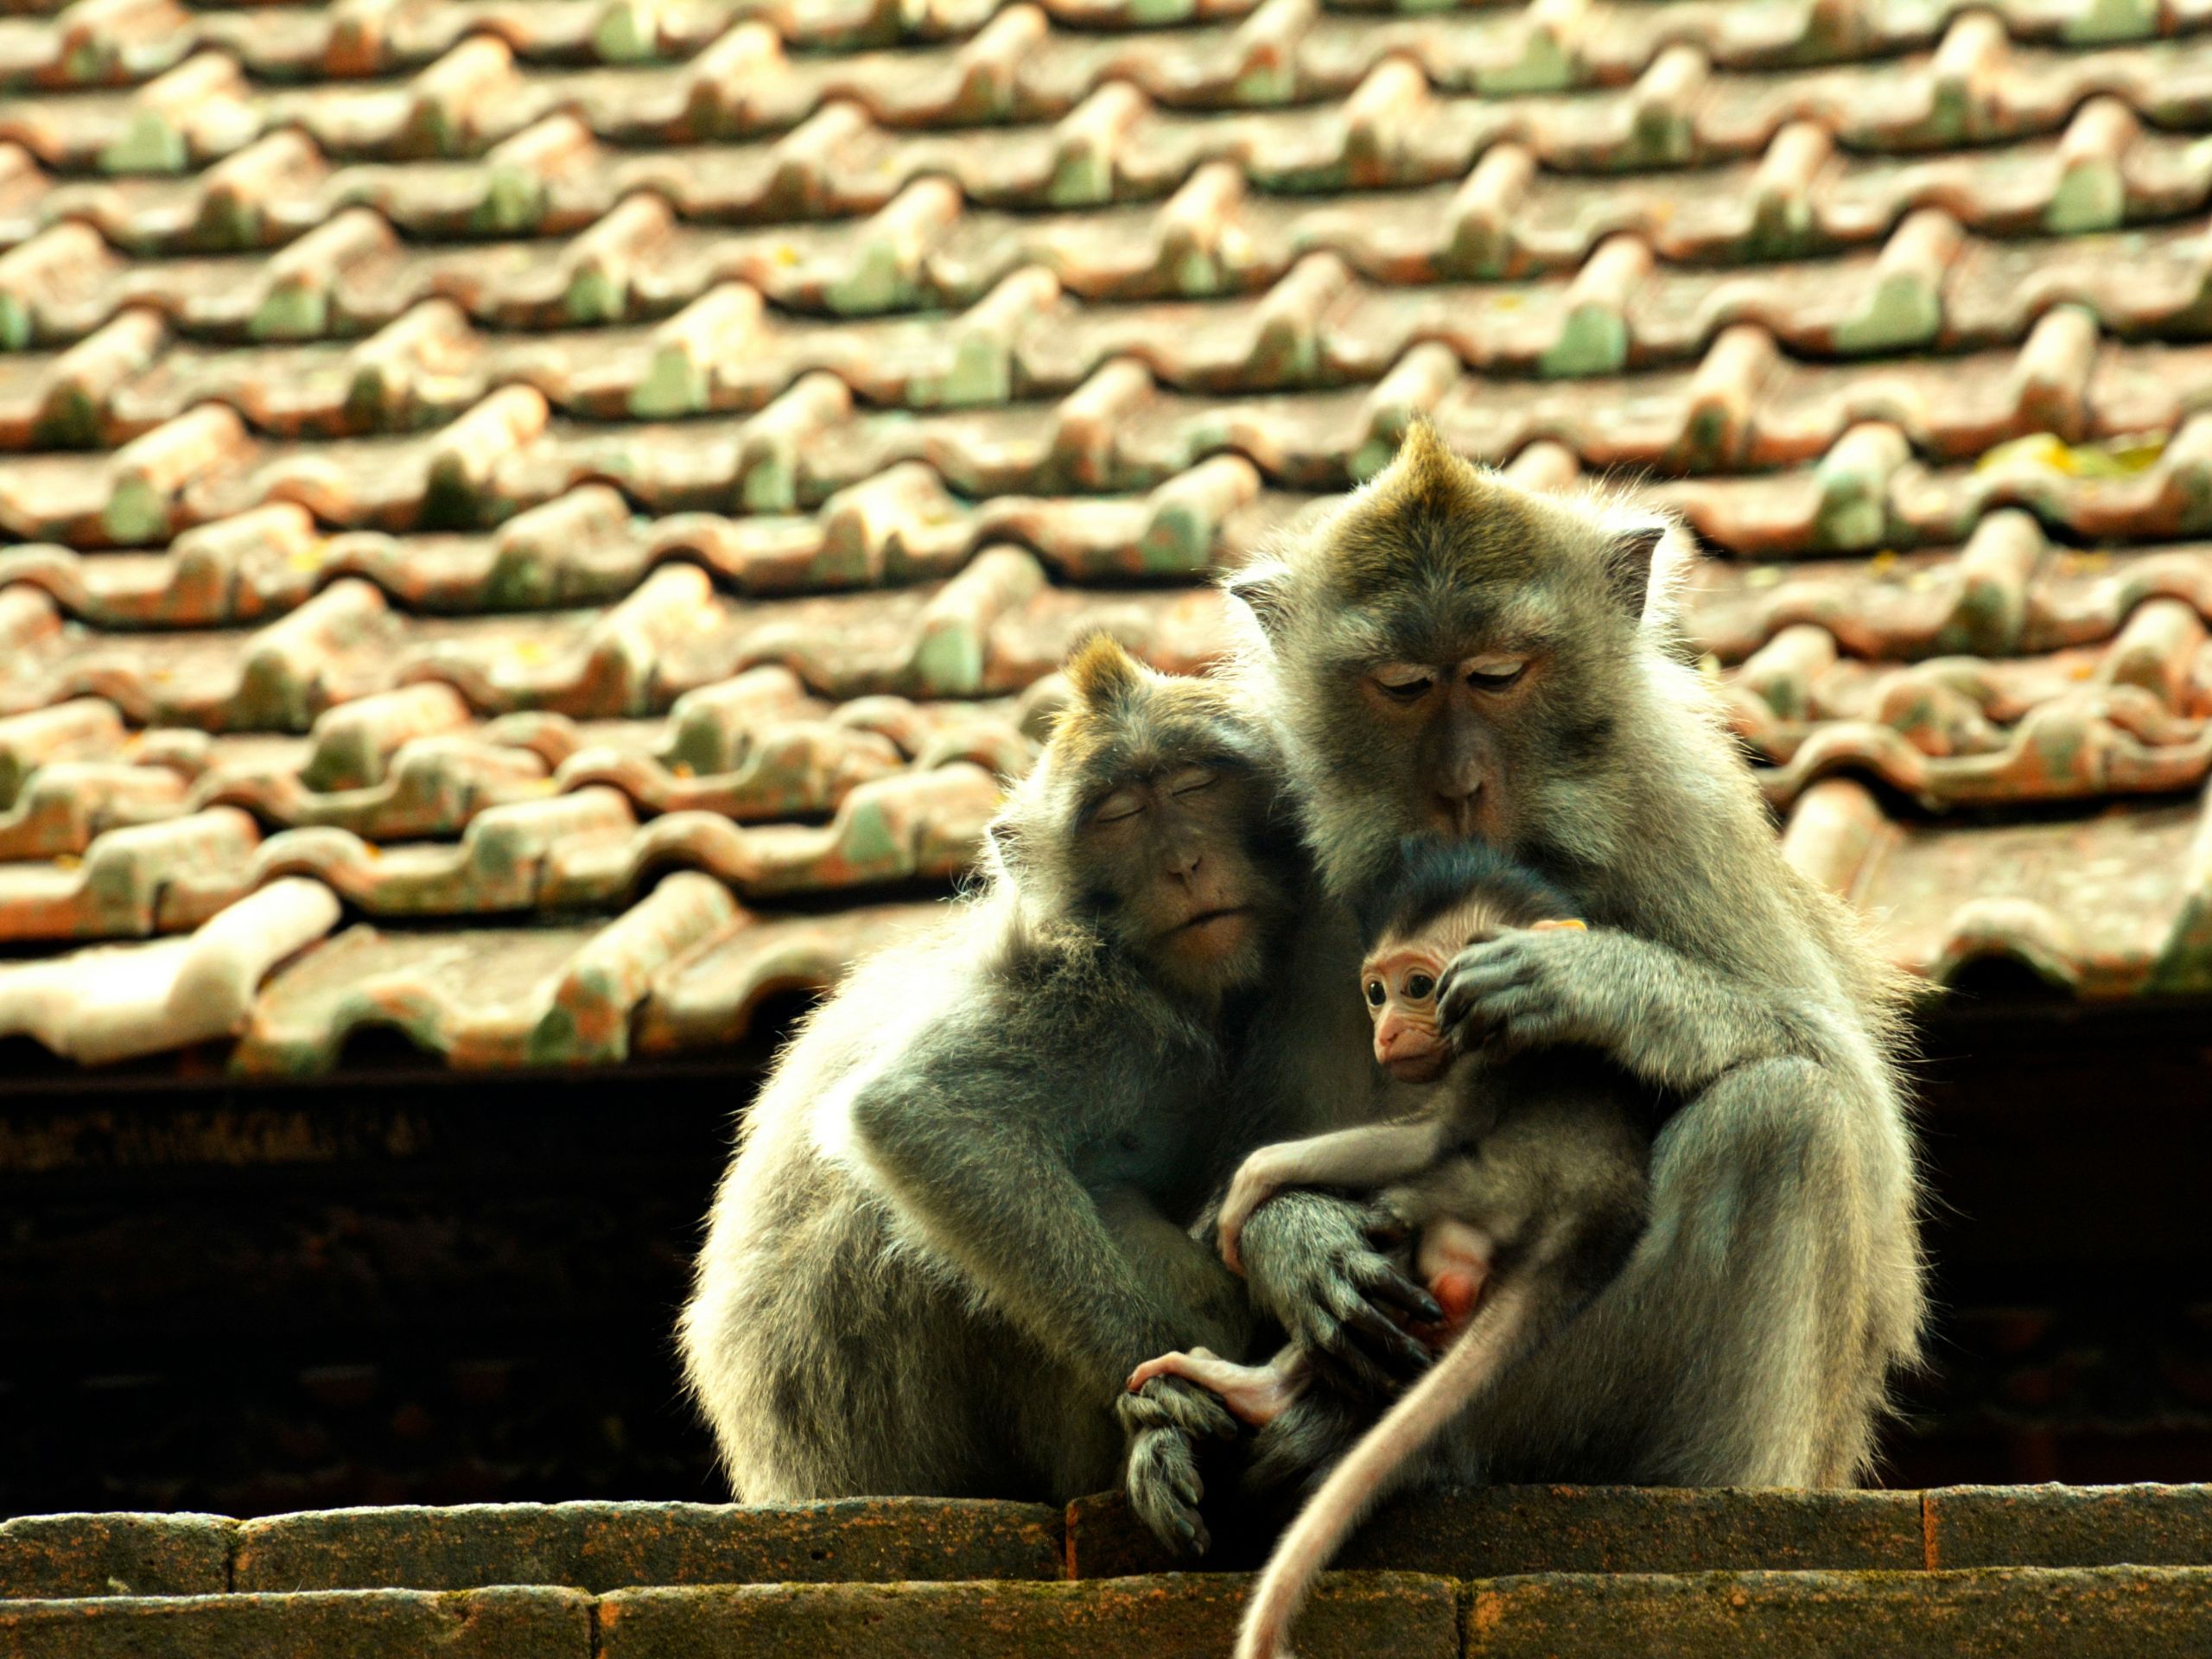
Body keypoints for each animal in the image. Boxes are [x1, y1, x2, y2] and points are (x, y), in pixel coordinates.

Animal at [1132, 844, 1654, 1659]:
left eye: (1418, 987)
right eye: (1375, 993)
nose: (1384, 1033)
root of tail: (1588, 1230)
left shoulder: (1492, 1046)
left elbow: (1429, 1136)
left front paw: (1249, 1184)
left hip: (1491, 1189)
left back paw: (1256, 1388)